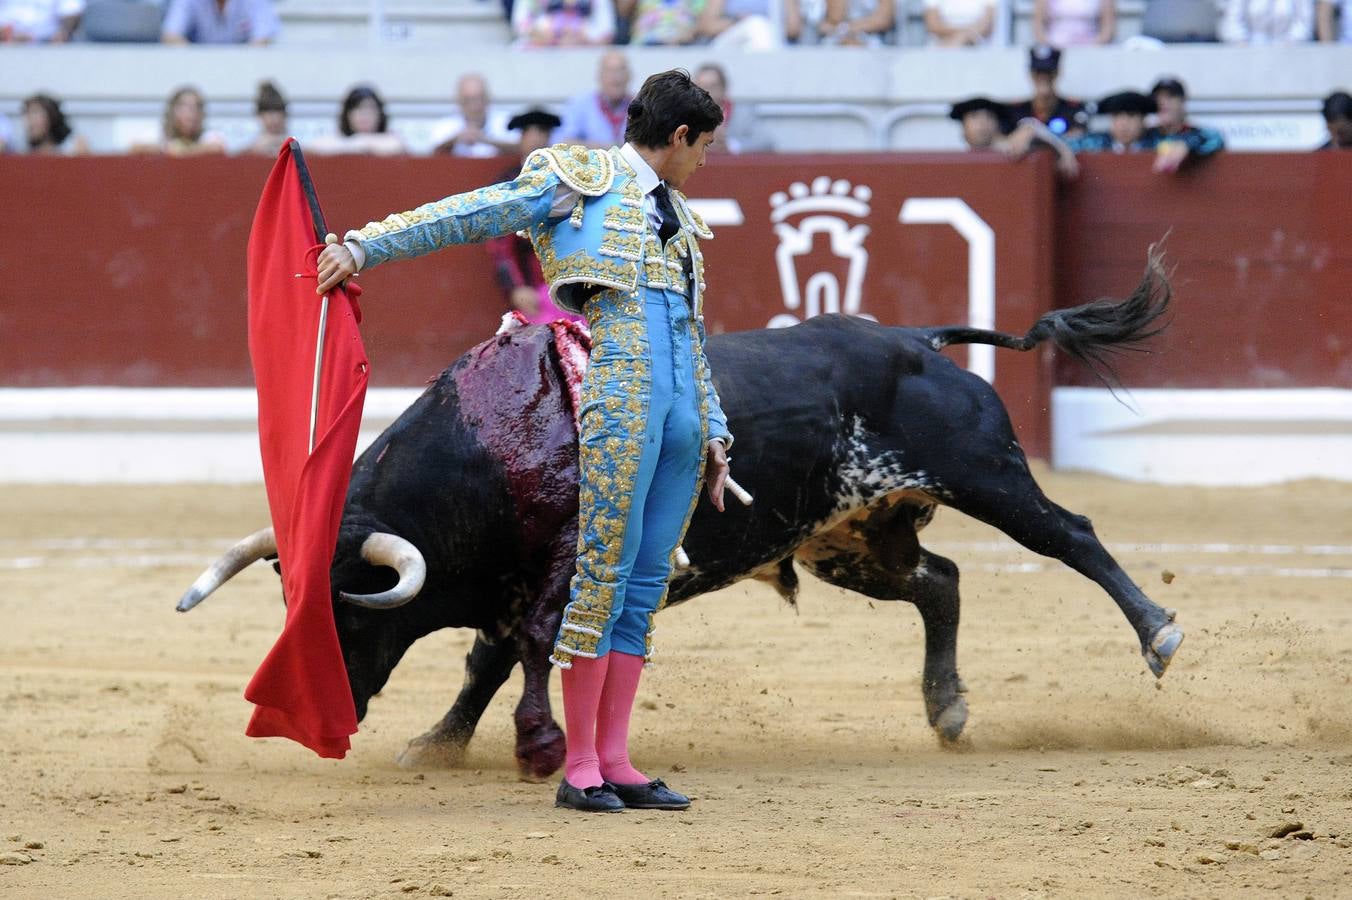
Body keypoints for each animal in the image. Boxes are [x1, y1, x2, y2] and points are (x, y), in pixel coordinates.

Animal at [179, 254, 1184, 778]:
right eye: (287, 609)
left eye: (349, 611)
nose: (318, 711)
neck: (488, 447)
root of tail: (914, 340)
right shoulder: (511, 585)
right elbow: (485, 663)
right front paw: (439, 743)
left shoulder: (557, 575)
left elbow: (527, 653)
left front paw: (541, 749)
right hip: (851, 535)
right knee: (942, 582)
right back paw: (946, 707)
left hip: (985, 474)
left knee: (1069, 536)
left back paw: (1159, 633)